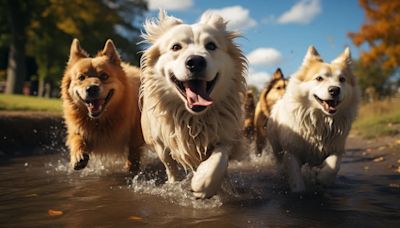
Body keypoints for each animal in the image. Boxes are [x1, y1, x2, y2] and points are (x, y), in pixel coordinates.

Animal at [61, 39, 144, 172]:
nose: (91, 88)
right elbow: (76, 138)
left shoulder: (136, 133)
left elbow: (134, 151)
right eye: (81, 77)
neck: (100, 121)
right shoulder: (79, 130)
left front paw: (131, 168)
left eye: (104, 76)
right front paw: (78, 155)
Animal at [140, 10, 247, 199]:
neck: (194, 118)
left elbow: (220, 157)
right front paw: (176, 184)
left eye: (211, 46)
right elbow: (170, 164)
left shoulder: (230, 133)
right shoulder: (160, 141)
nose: (195, 61)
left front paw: (203, 182)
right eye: (176, 47)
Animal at [268, 45, 360, 191]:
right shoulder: (291, 152)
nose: (335, 90)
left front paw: (322, 179)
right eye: (319, 78)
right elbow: (296, 180)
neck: (320, 120)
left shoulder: (337, 148)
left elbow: (333, 166)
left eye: (342, 79)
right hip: (277, 148)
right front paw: (299, 190)